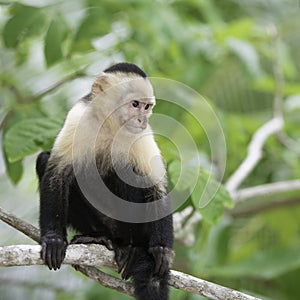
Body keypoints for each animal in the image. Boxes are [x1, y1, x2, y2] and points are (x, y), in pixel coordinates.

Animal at [35, 62, 173, 298]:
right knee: (45, 161)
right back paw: (98, 238)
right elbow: (56, 172)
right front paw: (53, 239)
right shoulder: (78, 117)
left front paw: (162, 250)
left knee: (128, 171)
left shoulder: (141, 134)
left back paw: (132, 247)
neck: (110, 126)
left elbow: (156, 186)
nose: (142, 120)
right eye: (135, 104)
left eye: (147, 107)